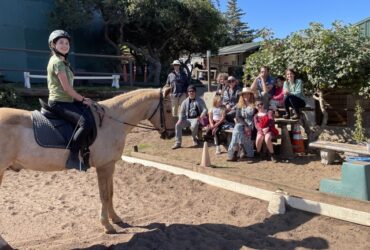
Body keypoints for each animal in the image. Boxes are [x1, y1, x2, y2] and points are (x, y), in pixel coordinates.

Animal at [0, 86, 176, 234]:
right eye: (168, 110)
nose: (171, 134)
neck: (112, 121)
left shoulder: (110, 165)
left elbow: (111, 193)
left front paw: (116, 218)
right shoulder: (104, 167)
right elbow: (104, 196)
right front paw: (107, 225)